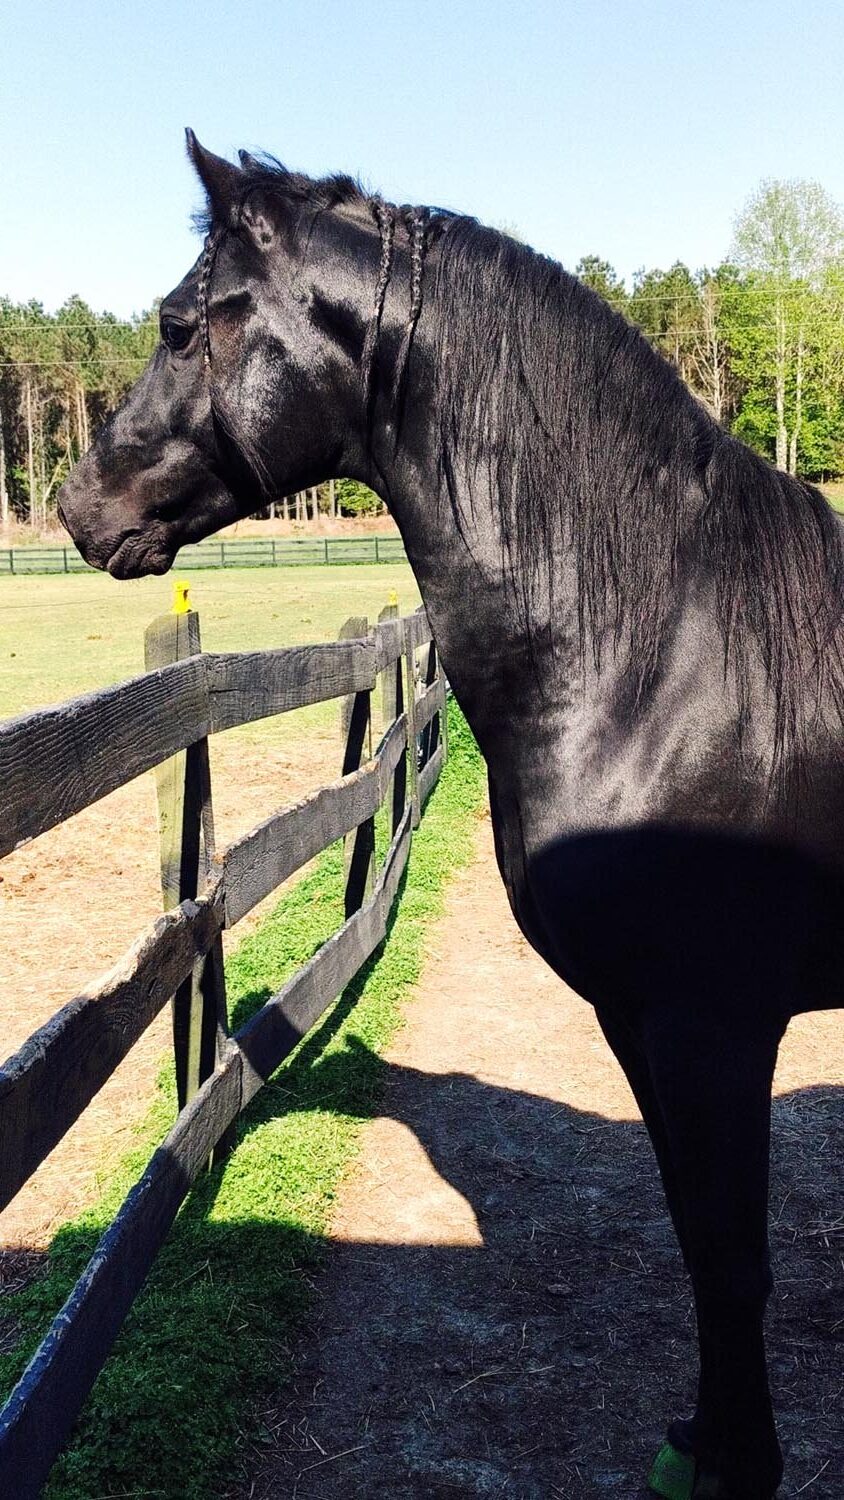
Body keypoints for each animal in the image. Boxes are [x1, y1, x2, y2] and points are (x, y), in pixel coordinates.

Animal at [57, 133, 844, 1500]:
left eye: (176, 324)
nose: (74, 508)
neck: (671, 644)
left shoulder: (713, 1024)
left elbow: (733, 1257)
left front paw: (740, 1461)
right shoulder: (640, 1021)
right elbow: (696, 1241)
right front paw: (701, 1440)